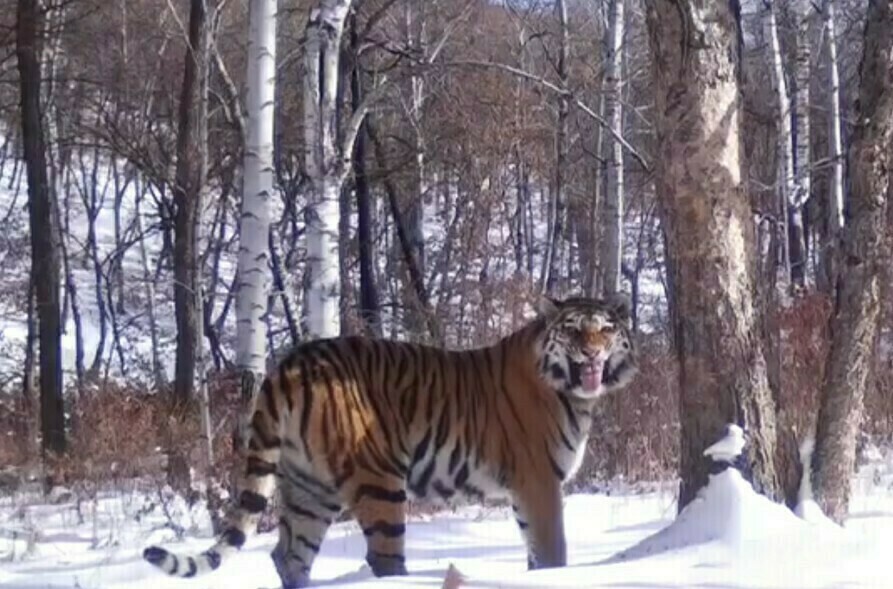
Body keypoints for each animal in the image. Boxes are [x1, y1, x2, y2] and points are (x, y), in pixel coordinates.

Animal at [143, 294, 636, 588]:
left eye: (606, 329)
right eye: (573, 330)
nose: (592, 352)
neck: (570, 390)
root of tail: (290, 362)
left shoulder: (525, 491)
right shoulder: (538, 482)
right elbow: (553, 551)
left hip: (307, 488)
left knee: (288, 555)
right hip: (379, 479)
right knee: (381, 558)